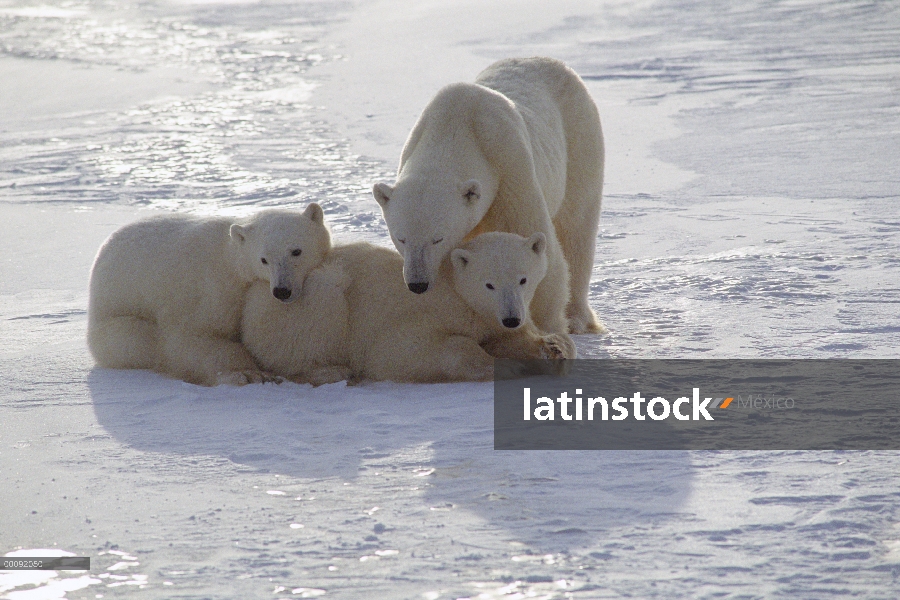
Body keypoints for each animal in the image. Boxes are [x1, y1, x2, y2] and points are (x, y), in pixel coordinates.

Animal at [85, 204, 326, 386]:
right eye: (263, 259)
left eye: (296, 251)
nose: (281, 291)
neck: (231, 263)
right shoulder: (207, 293)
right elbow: (191, 338)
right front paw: (248, 373)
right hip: (115, 316)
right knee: (139, 339)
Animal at [241, 230, 576, 384]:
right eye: (489, 284)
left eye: (523, 279)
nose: (511, 318)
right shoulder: (422, 314)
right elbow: (404, 350)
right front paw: (504, 365)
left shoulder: (496, 316)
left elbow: (518, 337)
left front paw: (552, 348)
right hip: (296, 306)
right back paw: (330, 370)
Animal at [372, 55, 604, 336]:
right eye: (400, 238)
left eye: (438, 238)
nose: (417, 284)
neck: (456, 126)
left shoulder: (509, 167)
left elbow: (533, 242)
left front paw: (546, 326)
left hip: (579, 138)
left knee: (577, 226)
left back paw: (577, 318)